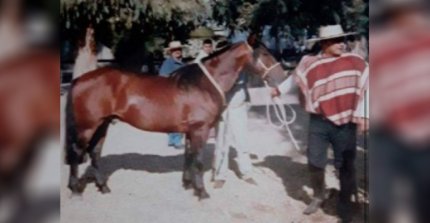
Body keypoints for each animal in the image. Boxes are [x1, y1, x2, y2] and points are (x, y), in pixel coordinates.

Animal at [65, 40, 284, 199]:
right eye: (265, 54)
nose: (281, 77)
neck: (203, 85)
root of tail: (79, 80)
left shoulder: (190, 131)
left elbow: (188, 157)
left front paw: (188, 184)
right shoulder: (200, 130)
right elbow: (197, 161)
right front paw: (202, 192)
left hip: (103, 124)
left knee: (95, 152)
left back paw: (103, 187)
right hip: (87, 127)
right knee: (77, 153)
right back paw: (75, 190)